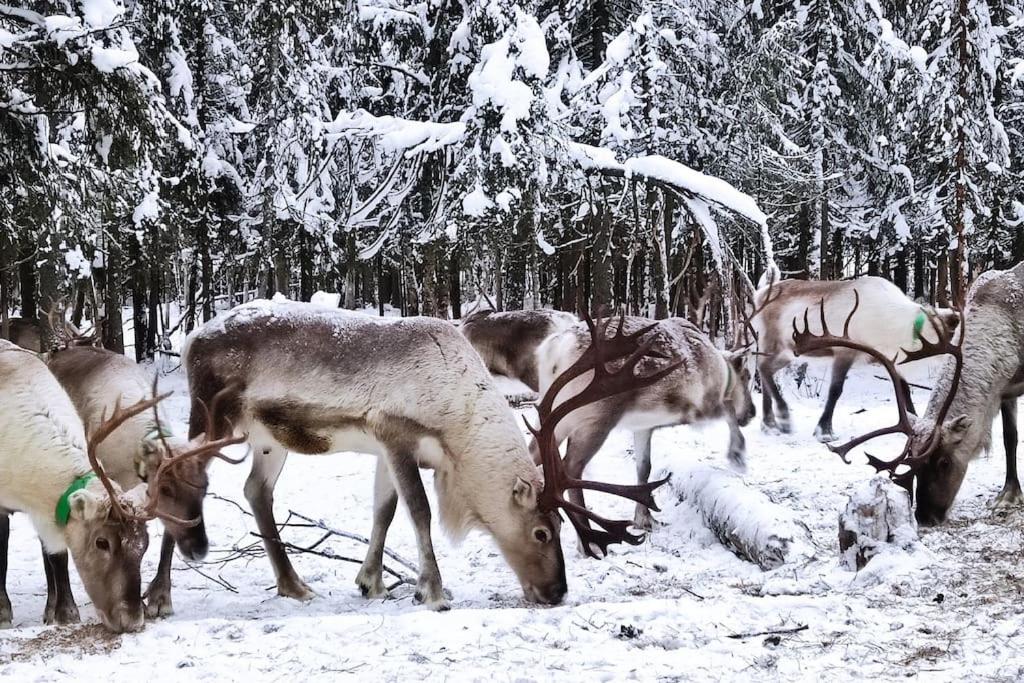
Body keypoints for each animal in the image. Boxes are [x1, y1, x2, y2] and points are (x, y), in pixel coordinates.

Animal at [183, 300, 673, 609]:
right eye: (542, 532)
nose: (556, 592)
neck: (456, 428)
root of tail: (190, 340)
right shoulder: (394, 431)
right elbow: (419, 510)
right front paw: (434, 591)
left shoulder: (383, 449)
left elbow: (384, 509)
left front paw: (372, 582)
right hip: (210, 415)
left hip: (268, 439)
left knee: (255, 490)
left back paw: (293, 584)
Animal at [533, 315, 756, 532]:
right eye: (747, 376)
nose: (752, 412)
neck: (723, 372)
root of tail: (555, 349)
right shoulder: (700, 407)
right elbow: (729, 410)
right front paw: (737, 455)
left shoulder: (643, 426)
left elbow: (644, 467)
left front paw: (644, 519)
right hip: (595, 418)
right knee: (571, 466)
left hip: (554, 414)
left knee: (536, 451)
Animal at [748, 272, 959, 442]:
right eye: (951, 333)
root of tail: (758, 295)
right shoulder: (845, 351)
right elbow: (835, 390)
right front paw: (824, 431)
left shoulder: (887, 358)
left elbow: (905, 389)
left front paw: (916, 421)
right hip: (773, 342)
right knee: (763, 368)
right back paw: (782, 419)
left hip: (789, 352)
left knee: (765, 370)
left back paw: (769, 425)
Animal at [792, 260, 1024, 526]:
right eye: (915, 466)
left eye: (944, 462)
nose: (925, 516)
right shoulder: (1005, 391)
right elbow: (1010, 438)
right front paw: (1009, 493)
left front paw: (1009, 496)